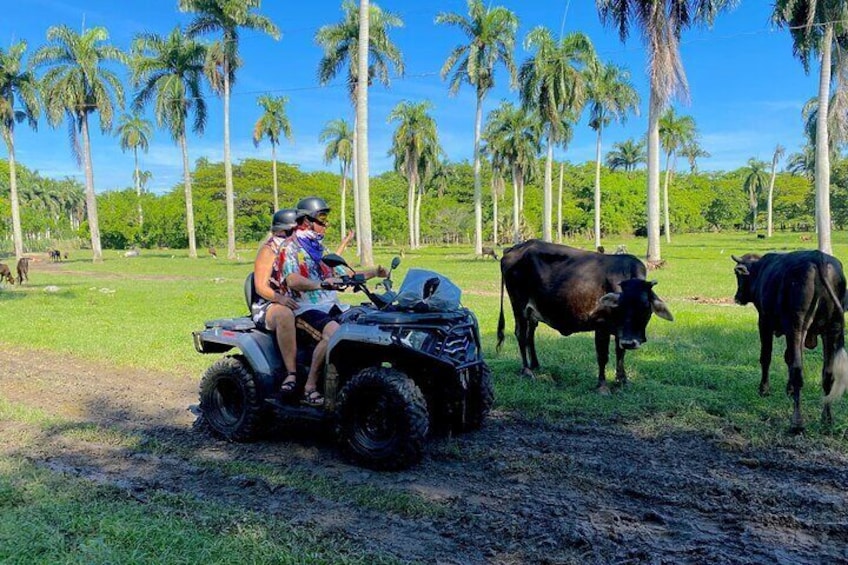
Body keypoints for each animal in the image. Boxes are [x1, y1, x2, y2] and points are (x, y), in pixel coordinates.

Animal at [496, 239, 676, 392]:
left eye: (645, 307)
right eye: (620, 306)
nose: (630, 343)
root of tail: (513, 249)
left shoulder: (620, 332)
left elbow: (620, 353)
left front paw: (622, 380)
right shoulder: (601, 326)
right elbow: (602, 356)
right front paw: (602, 386)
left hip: (532, 312)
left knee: (530, 336)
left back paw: (536, 365)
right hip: (518, 305)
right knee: (520, 334)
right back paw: (527, 370)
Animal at [732, 249, 844, 430]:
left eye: (737, 274)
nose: (737, 297)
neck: (760, 270)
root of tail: (818, 257)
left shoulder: (764, 321)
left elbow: (766, 357)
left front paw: (764, 390)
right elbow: (788, 357)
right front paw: (789, 389)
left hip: (796, 326)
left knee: (798, 371)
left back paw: (797, 421)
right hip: (832, 329)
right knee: (828, 374)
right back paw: (827, 418)